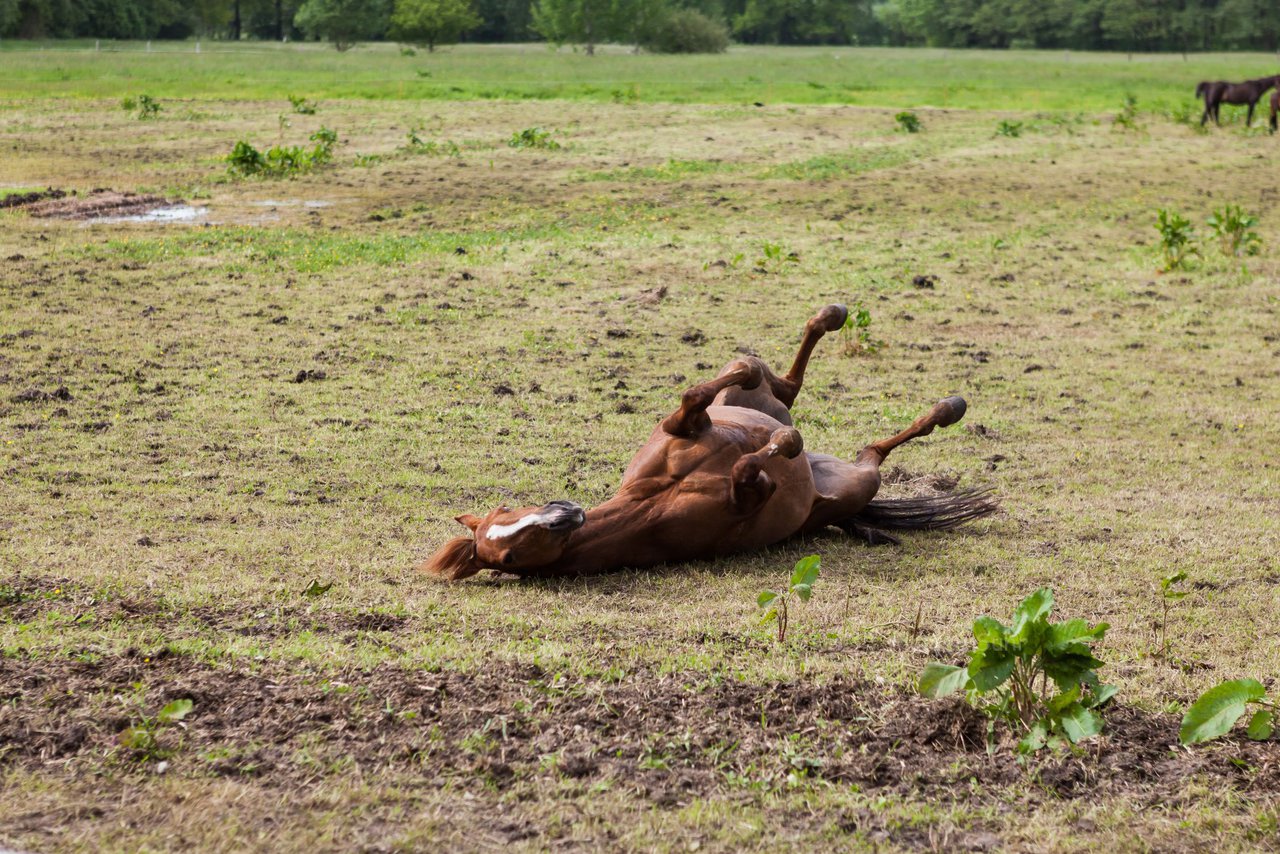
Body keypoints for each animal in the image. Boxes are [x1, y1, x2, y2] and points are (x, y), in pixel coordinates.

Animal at [422, 306, 998, 581]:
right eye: (508, 553)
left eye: (508, 508)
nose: (565, 513)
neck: (649, 504)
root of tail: (826, 469)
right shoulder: (747, 500)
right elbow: (751, 469)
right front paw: (780, 445)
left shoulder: (685, 425)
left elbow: (700, 391)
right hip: (859, 481)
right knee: (872, 450)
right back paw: (943, 410)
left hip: (762, 402)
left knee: (779, 381)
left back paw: (836, 318)